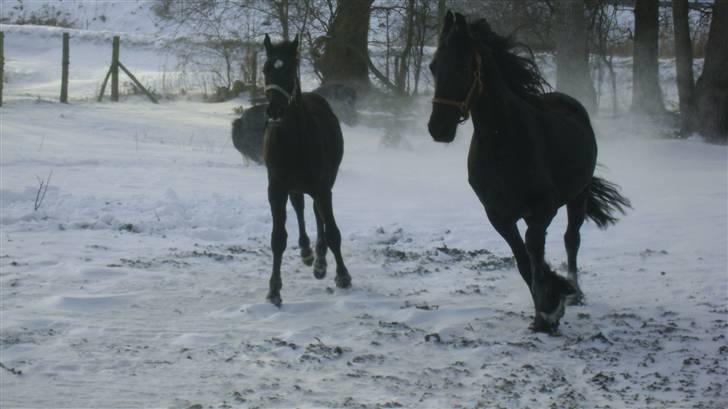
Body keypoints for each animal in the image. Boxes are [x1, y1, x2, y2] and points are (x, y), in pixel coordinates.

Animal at [262, 34, 352, 306]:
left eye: (290, 70)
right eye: (266, 69)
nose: (274, 110)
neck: (293, 141)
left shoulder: (322, 187)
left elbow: (332, 231)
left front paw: (342, 275)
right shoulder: (276, 188)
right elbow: (278, 238)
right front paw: (274, 289)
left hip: (323, 183)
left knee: (317, 213)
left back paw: (320, 261)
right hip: (296, 186)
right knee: (301, 207)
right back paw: (307, 251)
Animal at [430, 11, 628, 332]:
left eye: (463, 66)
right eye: (433, 66)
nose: (438, 128)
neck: (503, 142)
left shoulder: (544, 207)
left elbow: (534, 249)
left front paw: (549, 309)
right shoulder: (497, 214)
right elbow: (523, 257)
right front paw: (546, 305)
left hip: (579, 195)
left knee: (571, 239)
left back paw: (576, 291)